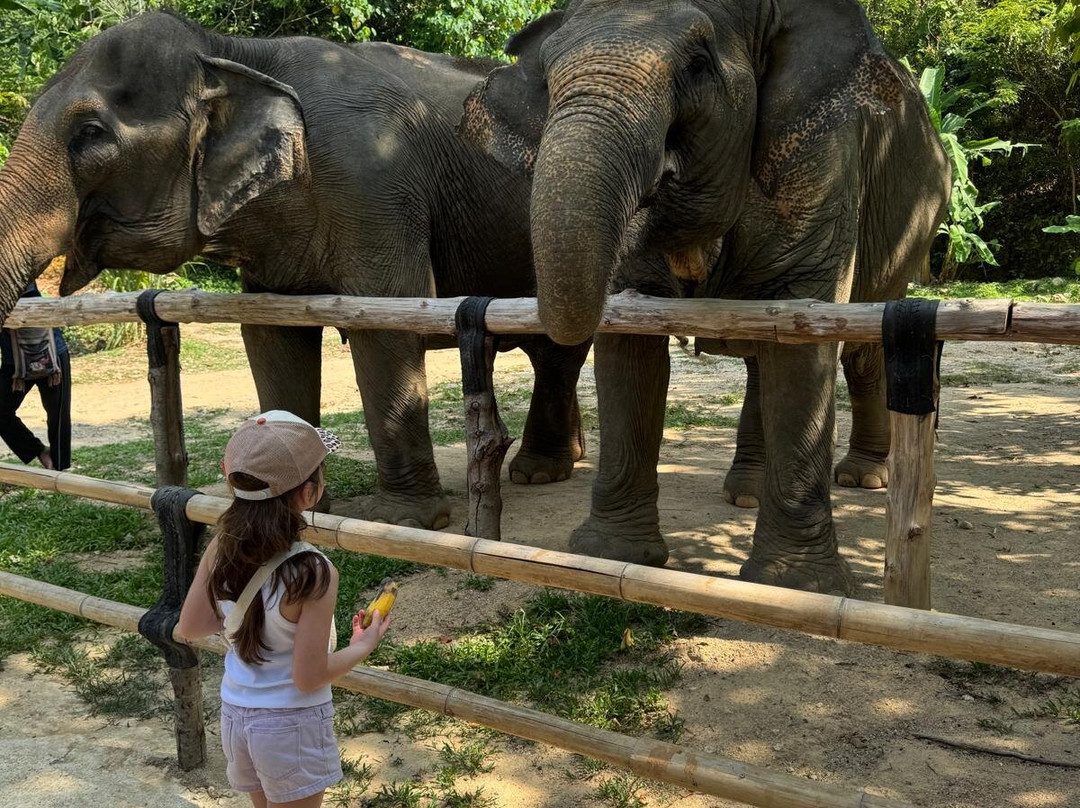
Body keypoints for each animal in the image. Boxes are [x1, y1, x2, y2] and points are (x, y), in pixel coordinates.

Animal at [0, 11, 591, 530]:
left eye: (90, 133)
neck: (234, 52)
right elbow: (273, 337)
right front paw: (282, 500)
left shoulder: (374, 186)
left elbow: (387, 326)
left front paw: (404, 521)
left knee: (557, 349)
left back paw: (539, 473)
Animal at [461, 0, 950, 593]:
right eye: (549, 79)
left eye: (696, 66)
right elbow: (629, 343)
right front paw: (609, 556)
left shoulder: (825, 158)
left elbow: (802, 339)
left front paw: (793, 587)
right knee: (764, 353)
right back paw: (747, 493)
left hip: (911, 232)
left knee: (859, 350)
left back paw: (862, 478)